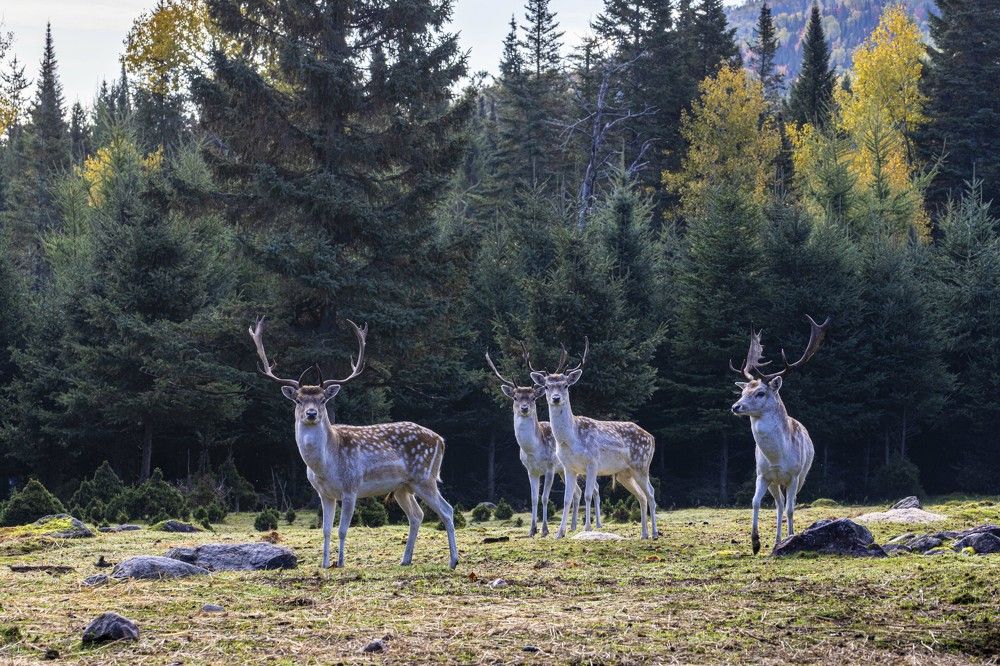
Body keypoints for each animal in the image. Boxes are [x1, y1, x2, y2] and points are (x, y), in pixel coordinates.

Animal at [249, 316, 459, 569]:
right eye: (298, 400)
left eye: (322, 400)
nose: (311, 414)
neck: (325, 466)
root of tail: (440, 439)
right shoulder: (324, 494)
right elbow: (326, 530)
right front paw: (324, 564)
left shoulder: (351, 487)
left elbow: (342, 530)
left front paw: (340, 563)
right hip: (402, 486)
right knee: (417, 515)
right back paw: (405, 559)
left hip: (424, 477)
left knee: (447, 510)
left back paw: (453, 561)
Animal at [485, 345, 592, 537]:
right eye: (515, 397)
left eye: (533, 397)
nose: (524, 408)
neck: (533, 450)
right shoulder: (530, 470)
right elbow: (534, 498)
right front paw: (532, 530)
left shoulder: (549, 467)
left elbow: (544, 498)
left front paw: (544, 530)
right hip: (563, 471)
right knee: (577, 493)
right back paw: (572, 527)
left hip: (568, 468)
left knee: (583, 491)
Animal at [530, 338, 658, 539]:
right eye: (546, 386)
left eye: (565, 385)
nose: (556, 398)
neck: (571, 439)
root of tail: (651, 437)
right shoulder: (568, 467)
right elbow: (567, 499)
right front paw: (560, 533)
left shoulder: (593, 462)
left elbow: (588, 495)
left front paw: (587, 528)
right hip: (624, 473)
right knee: (642, 496)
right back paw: (643, 534)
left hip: (642, 464)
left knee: (651, 494)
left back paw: (654, 533)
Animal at [730, 315, 830, 555]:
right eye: (743, 390)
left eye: (760, 392)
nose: (735, 406)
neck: (777, 457)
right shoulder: (762, 475)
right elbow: (755, 502)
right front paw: (755, 543)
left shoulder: (794, 475)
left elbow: (792, 509)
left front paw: (792, 537)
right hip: (775, 484)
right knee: (779, 504)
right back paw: (776, 540)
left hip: (803, 475)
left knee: (788, 504)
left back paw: (785, 537)